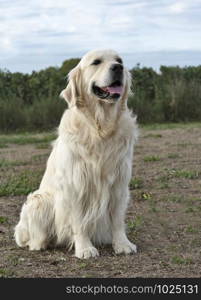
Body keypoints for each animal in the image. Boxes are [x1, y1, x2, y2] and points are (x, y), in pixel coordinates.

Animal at [14, 49, 138, 258]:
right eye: (96, 62)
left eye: (119, 60)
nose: (118, 68)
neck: (100, 129)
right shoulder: (76, 183)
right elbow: (79, 222)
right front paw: (85, 248)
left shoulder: (120, 183)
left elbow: (117, 219)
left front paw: (122, 244)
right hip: (39, 200)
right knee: (29, 238)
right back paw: (41, 244)